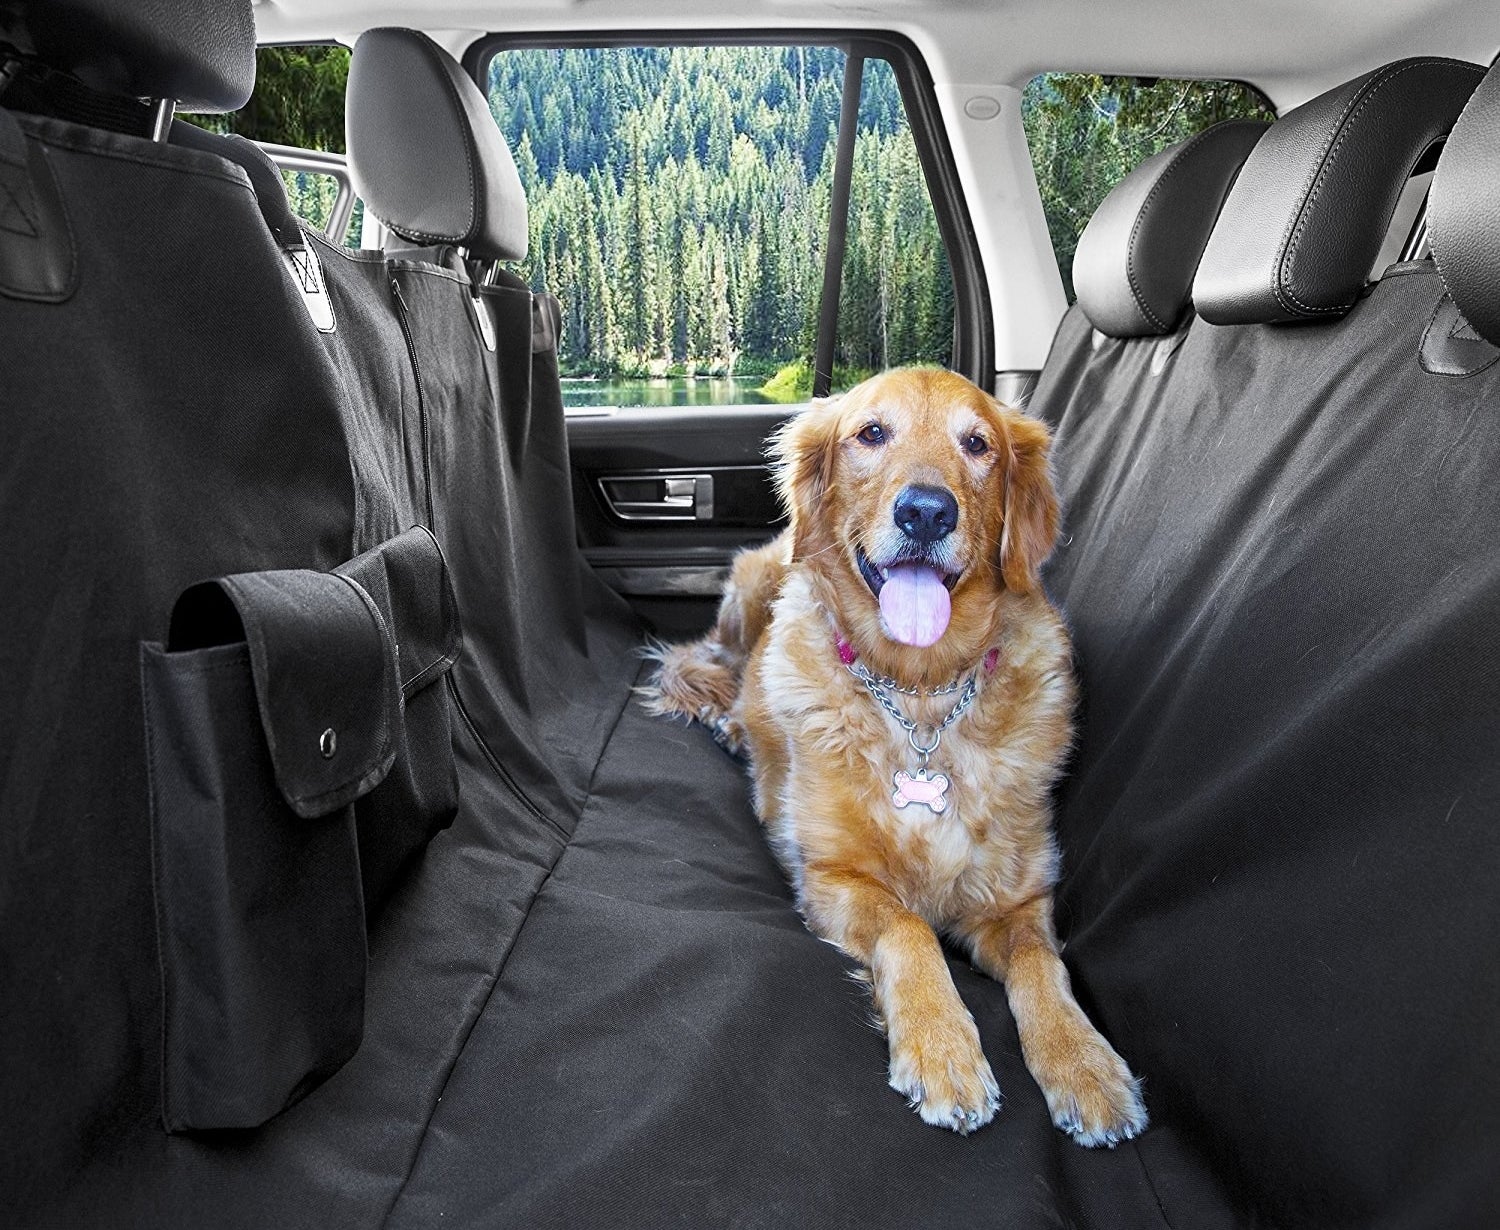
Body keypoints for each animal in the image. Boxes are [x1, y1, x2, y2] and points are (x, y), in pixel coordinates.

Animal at [639, 364, 1140, 1146]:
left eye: (978, 444)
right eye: (872, 433)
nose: (927, 513)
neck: (921, 694)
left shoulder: (1017, 898)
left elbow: (1043, 964)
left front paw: (1084, 1064)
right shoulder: (831, 877)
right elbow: (909, 927)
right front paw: (943, 1049)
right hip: (755, 583)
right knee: (717, 663)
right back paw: (732, 724)